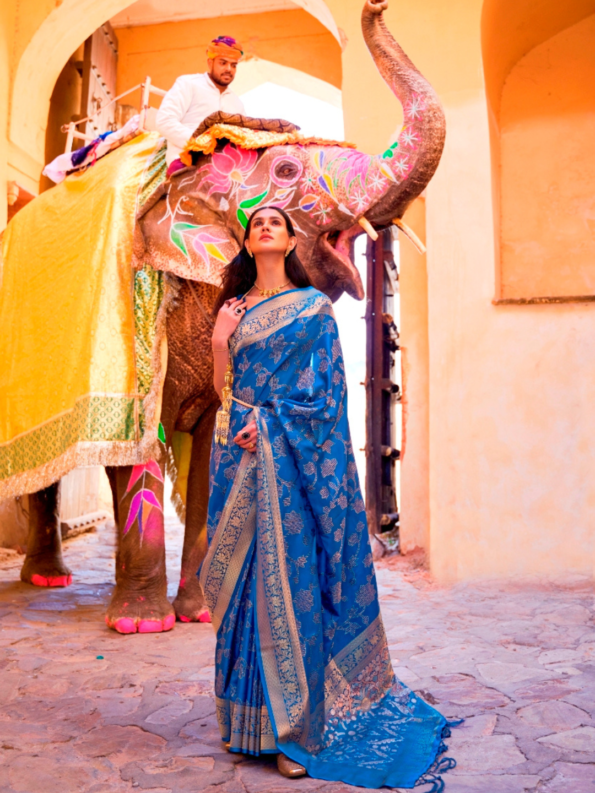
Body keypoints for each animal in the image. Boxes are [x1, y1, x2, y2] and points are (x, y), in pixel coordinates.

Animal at [14, 0, 444, 636]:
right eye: (287, 171)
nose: (376, 6)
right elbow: (140, 448)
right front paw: (142, 624)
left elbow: (210, 449)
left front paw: (196, 613)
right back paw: (48, 580)